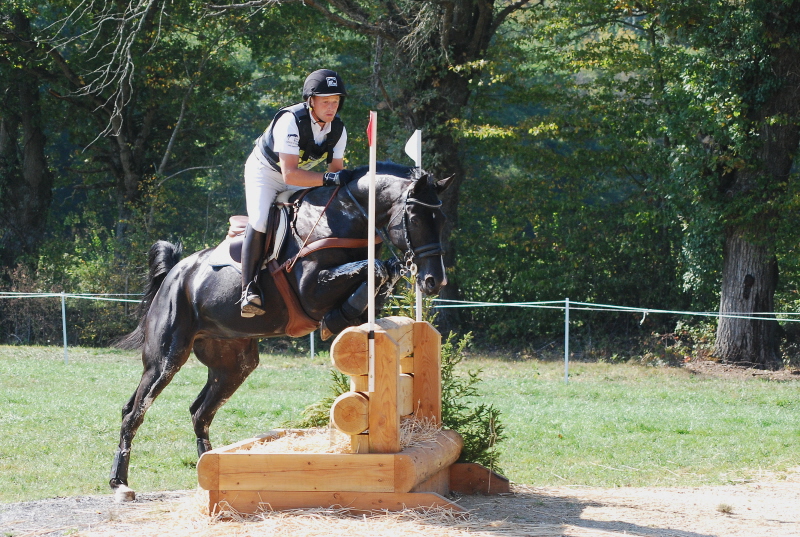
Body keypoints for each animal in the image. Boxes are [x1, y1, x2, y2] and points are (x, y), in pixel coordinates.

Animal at [109, 162, 454, 498]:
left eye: (441, 219)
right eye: (415, 218)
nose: (435, 281)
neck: (345, 216)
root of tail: (175, 274)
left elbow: (380, 272)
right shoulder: (311, 291)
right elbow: (374, 268)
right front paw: (335, 319)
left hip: (233, 364)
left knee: (199, 412)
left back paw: (206, 470)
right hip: (166, 358)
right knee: (134, 411)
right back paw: (120, 483)